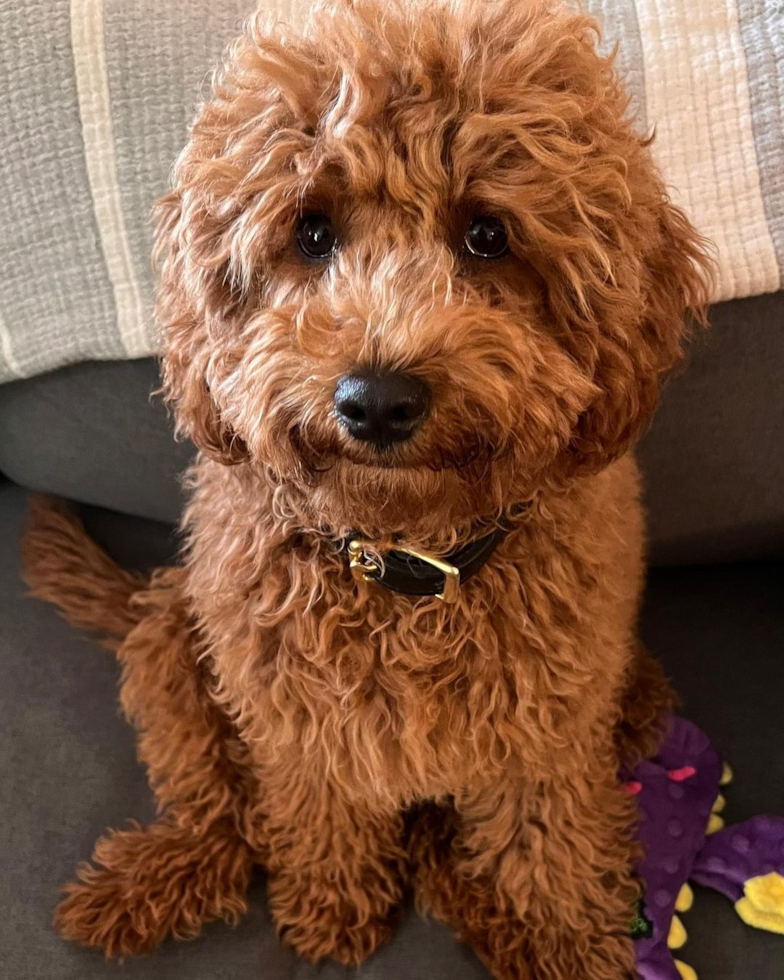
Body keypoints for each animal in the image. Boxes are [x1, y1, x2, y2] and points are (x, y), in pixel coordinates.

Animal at [24, 1, 712, 980]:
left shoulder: (545, 726)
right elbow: (320, 810)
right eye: (311, 232)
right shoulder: (295, 718)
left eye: (487, 234)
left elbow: (544, 837)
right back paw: (154, 879)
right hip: (171, 650)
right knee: (216, 810)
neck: (405, 563)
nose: (377, 399)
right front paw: (333, 907)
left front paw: (560, 937)